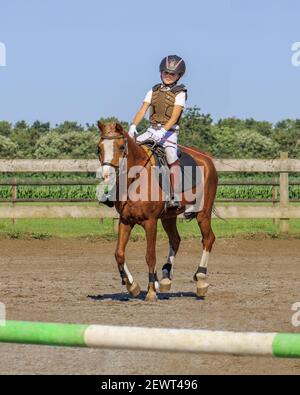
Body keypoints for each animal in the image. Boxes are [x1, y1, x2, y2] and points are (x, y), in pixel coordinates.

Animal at [98, 122, 218, 302]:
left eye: (121, 147)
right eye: (99, 148)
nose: (107, 175)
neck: (135, 178)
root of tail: (206, 158)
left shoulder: (150, 221)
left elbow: (150, 255)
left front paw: (151, 291)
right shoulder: (125, 220)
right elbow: (119, 253)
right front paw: (132, 285)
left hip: (203, 213)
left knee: (208, 238)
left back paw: (201, 279)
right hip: (169, 217)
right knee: (175, 239)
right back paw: (166, 277)